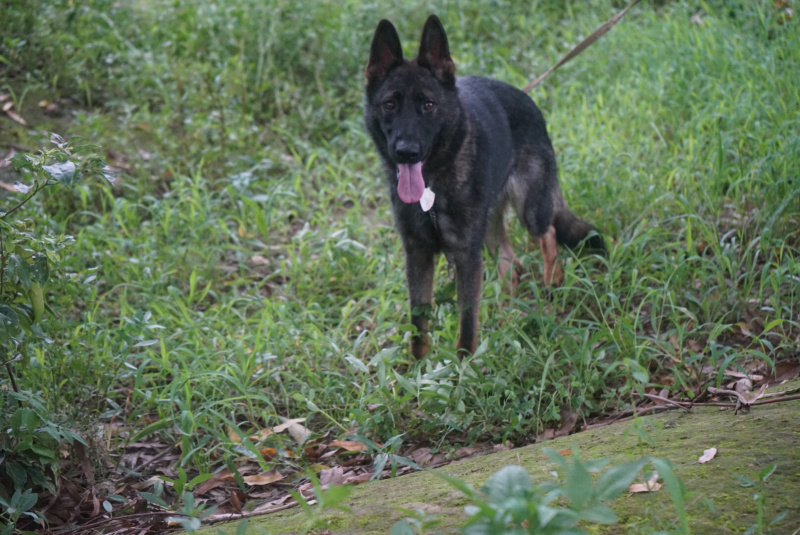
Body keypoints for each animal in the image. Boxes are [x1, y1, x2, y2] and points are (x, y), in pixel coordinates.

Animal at [366, 15, 604, 360]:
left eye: (428, 105)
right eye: (388, 105)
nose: (406, 152)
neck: (433, 186)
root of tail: (527, 98)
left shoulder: (467, 256)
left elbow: (467, 321)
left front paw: (463, 366)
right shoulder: (418, 255)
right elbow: (419, 322)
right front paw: (416, 366)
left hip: (529, 208)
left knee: (547, 233)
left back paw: (551, 283)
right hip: (490, 227)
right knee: (510, 263)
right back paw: (507, 314)